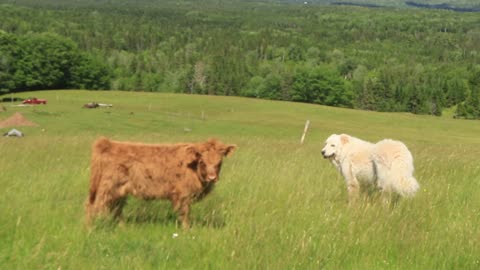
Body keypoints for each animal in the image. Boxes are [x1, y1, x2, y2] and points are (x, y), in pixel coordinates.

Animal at [86, 137, 238, 228]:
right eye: (202, 162)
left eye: (219, 162)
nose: (212, 178)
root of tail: (108, 143)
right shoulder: (184, 195)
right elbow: (185, 213)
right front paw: (187, 230)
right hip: (106, 188)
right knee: (93, 206)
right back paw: (90, 228)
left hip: (119, 190)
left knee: (116, 207)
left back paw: (123, 227)